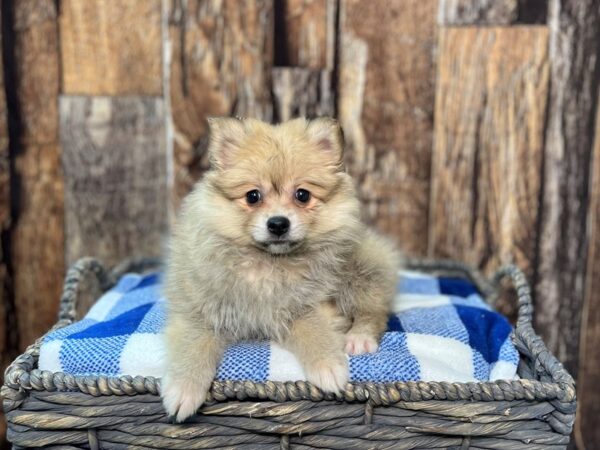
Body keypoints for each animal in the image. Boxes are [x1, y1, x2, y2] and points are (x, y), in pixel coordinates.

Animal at [162, 117, 400, 422]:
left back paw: (360, 339)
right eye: (253, 196)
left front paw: (328, 367)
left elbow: (314, 330)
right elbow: (193, 344)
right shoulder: (198, 309)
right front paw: (184, 389)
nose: (278, 223)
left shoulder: (308, 305)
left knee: (374, 311)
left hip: (361, 270)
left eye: (302, 195)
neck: (268, 263)